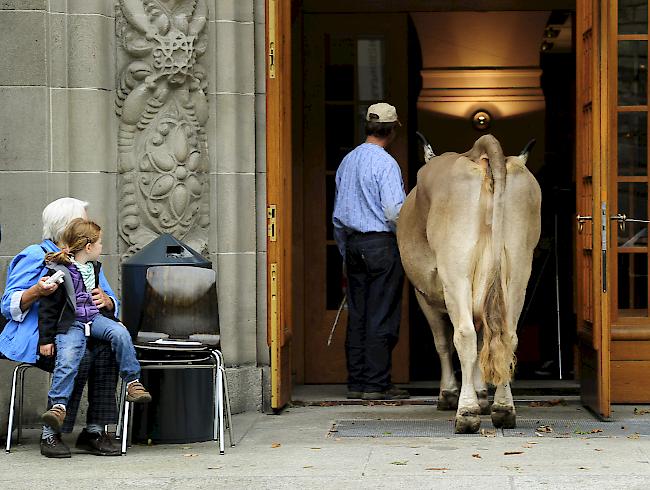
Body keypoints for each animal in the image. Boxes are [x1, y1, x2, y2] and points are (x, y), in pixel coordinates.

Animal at [398, 133, 540, 432]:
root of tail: (481, 155)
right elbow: (483, 340)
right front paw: (483, 394)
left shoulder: (423, 295)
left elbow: (443, 342)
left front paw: (450, 393)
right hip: (518, 268)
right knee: (507, 335)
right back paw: (503, 408)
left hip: (456, 271)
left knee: (463, 334)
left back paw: (466, 412)